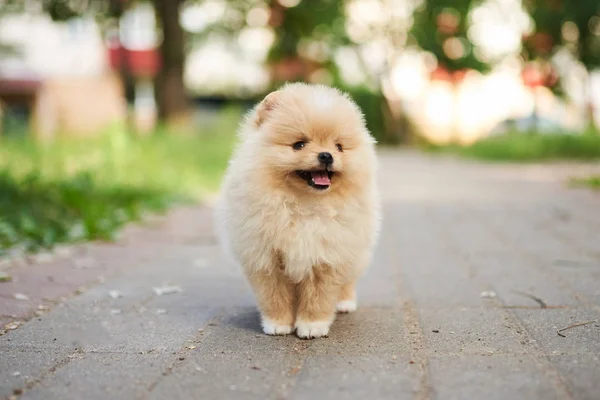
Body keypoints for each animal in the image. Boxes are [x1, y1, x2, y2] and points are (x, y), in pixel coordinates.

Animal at [217, 83, 380, 340]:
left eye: (339, 147)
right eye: (299, 144)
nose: (326, 155)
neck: (304, 205)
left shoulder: (328, 256)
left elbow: (318, 297)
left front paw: (312, 326)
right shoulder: (266, 257)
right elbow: (274, 296)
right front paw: (277, 324)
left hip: (358, 253)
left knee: (349, 281)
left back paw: (345, 303)